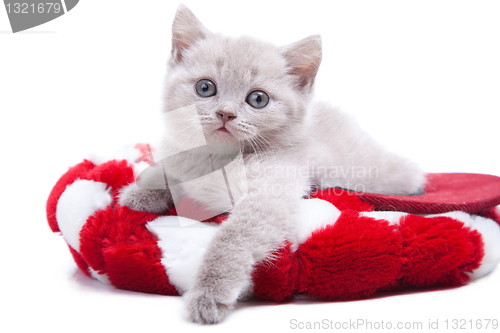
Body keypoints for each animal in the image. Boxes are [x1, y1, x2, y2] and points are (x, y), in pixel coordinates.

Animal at [118, 4, 426, 322]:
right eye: (205, 87)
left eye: (258, 99)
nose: (225, 113)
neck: (218, 158)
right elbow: (168, 167)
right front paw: (141, 192)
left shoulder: (269, 195)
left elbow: (232, 238)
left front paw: (209, 293)